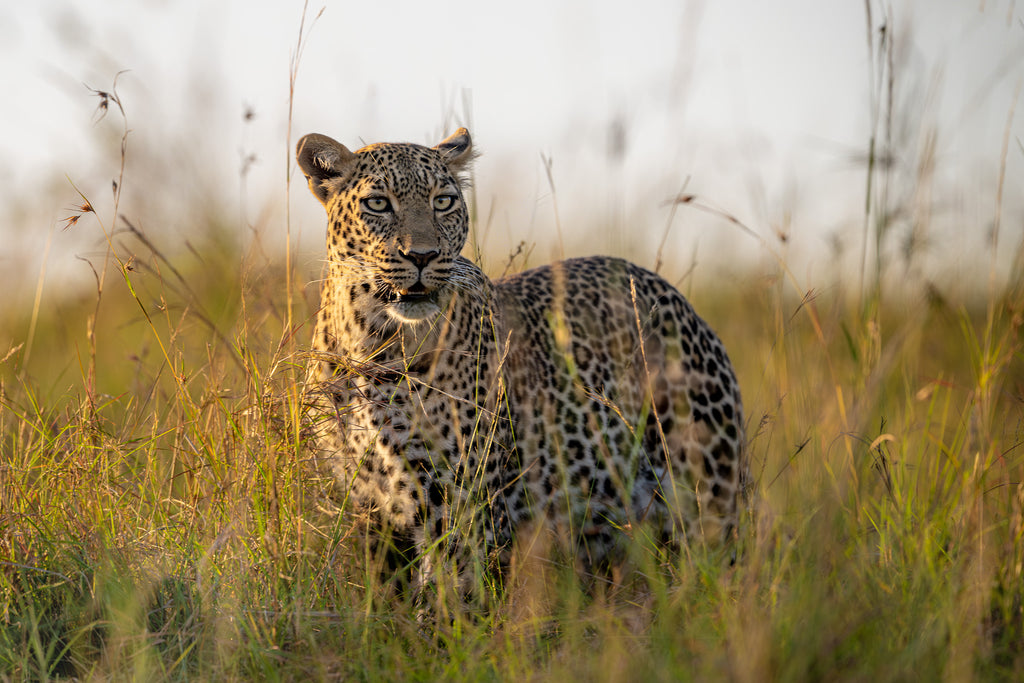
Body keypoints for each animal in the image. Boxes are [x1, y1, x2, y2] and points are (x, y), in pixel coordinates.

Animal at [296, 127, 745, 612]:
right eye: (378, 203)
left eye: (443, 201)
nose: (422, 255)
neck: (372, 344)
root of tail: (674, 294)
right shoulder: (366, 505)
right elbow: (385, 600)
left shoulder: (458, 503)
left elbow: (449, 602)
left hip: (708, 488)